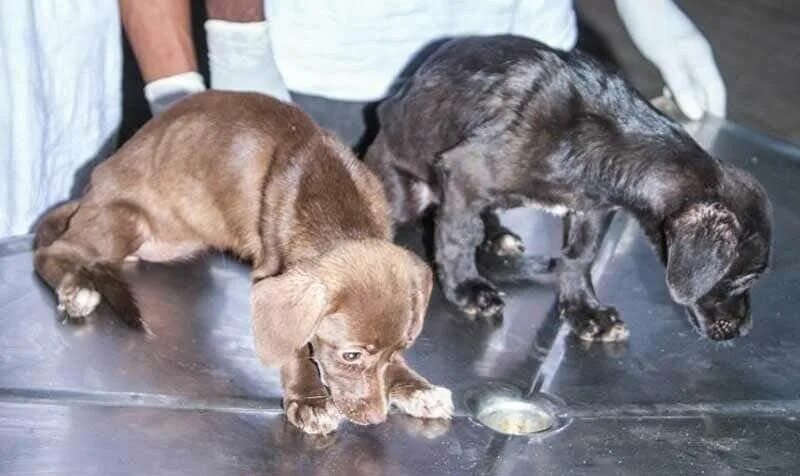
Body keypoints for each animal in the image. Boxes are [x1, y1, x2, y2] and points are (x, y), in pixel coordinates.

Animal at [34, 90, 454, 436]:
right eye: (350, 356)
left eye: (402, 346)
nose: (376, 419)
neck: (337, 205)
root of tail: (88, 194)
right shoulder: (270, 274)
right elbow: (294, 346)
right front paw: (309, 400)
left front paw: (415, 387)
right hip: (124, 219)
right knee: (52, 253)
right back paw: (75, 290)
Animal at [366, 36, 772, 342]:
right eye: (745, 278)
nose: (745, 330)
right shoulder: (464, 173)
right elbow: (457, 238)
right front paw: (468, 289)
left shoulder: (591, 210)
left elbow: (580, 257)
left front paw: (585, 311)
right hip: (402, 188)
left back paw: (497, 235)